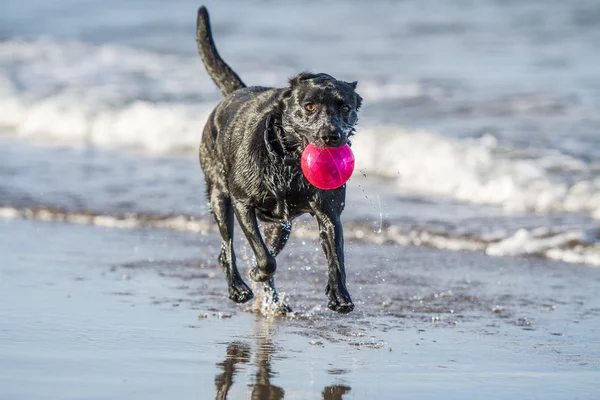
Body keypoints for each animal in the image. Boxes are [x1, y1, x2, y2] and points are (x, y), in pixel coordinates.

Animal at [198, 4, 360, 314]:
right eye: (309, 107)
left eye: (345, 107)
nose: (331, 136)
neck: (288, 163)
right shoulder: (243, 204)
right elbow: (264, 259)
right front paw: (256, 273)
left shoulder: (329, 212)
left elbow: (337, 255)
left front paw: (340, 295)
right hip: (218, 195)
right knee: (227, 247)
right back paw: (238, 288)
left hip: (280, 226)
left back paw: (273, 301)